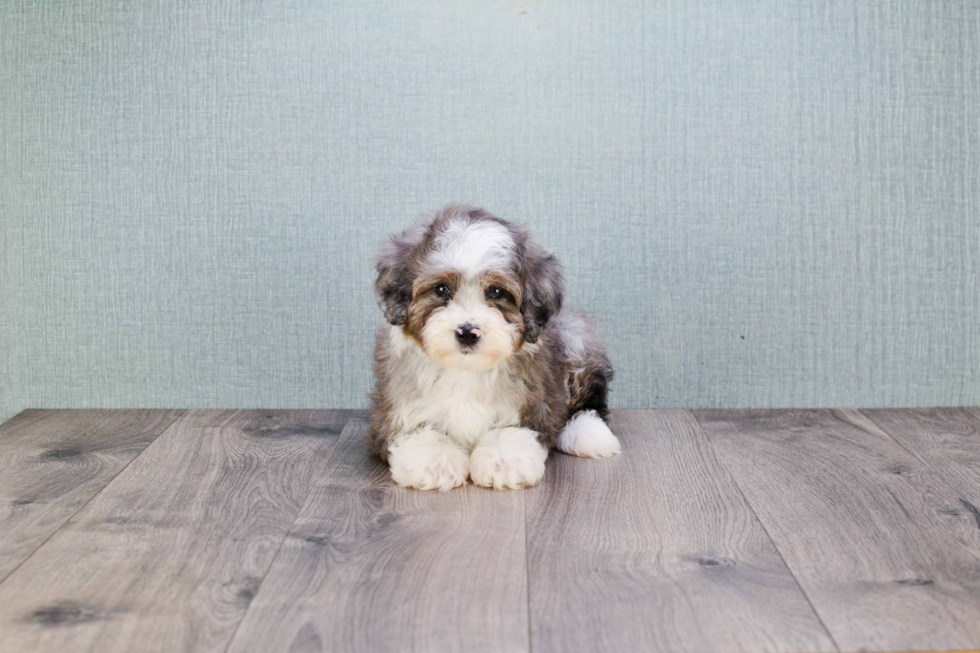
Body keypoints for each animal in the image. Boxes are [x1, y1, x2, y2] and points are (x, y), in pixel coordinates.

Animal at [368, 204, 620, 488]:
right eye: (441, 289)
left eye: (496, 292)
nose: (468, 332)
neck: (465, 370)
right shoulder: (390, 411)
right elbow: (414, 431)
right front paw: (434, 461)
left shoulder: (536, 404)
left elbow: (513, 430)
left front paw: (503, 461)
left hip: (576, 335)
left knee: (591, 397)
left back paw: (588, 433)